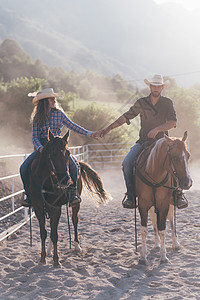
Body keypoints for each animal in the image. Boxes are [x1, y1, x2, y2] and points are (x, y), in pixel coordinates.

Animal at [29, 130, 111, 266]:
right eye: (53, 153)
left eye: (68, 153)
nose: (66, 180)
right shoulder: (38, 207)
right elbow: (44, 232)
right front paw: (43, 258)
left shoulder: (56, 207)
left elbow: (55, 234)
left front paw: (56, 261)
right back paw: (49, 250)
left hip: (75, 204)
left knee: (74, 220)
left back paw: (77, 246)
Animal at [136, 132, 192, 264]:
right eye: (175, 157)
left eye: (188, 156)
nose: (188, 183)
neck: (153, 175)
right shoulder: (143, 204)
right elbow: (144, 230)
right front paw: (143, 256)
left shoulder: (164, 204)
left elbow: (163, 229)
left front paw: (163, 256)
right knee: (154, 221)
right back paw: (156, 244)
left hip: (170, 203)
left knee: (171, 221)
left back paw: (175, 243)